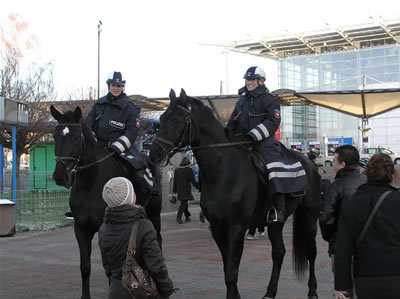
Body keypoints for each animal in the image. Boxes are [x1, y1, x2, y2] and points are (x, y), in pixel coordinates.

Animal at [50, 106, 161, 299]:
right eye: (55, 136)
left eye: (76, 137)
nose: (59, 176)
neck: (91, 183)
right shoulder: (81, 229)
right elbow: (85, 267)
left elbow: (111, 270)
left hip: (155, 214)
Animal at [148, 90, 320, 299]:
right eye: (162, 118)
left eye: (177, 119)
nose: (154, 154)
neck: (223, 171)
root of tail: (309, 163)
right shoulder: (217, 228)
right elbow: (227, 270)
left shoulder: (237, 227)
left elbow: (231, 271)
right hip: (275, 223)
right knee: (279, 252)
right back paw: (270, 292)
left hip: (310, 215)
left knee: (311, 251)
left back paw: (312, 290)